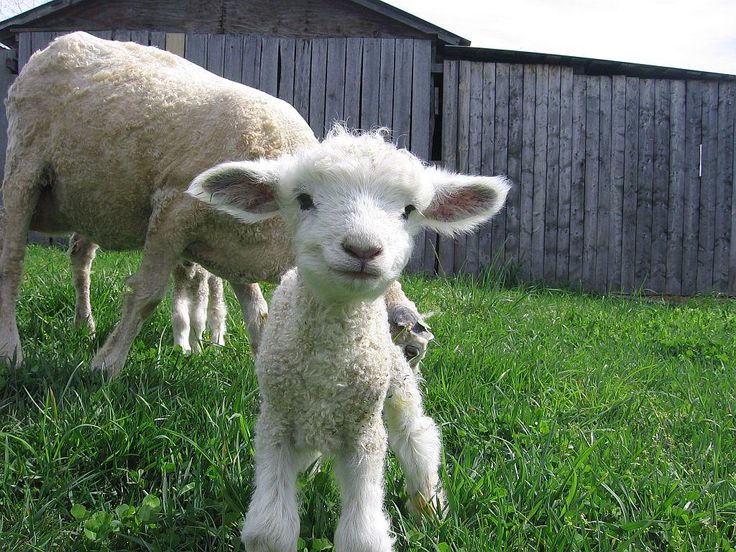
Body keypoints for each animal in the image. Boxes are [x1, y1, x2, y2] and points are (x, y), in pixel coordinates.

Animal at [0, 33, 426, 376]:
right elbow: (146, 295)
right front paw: (105, 367)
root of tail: (52, 47)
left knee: (80, 256)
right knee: (12, 263)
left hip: (91, 199)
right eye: (409, 351)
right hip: (26, 168)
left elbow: (259, 316)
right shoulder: (174, 211)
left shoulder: (239, 249)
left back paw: (83, 325)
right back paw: (11, 351)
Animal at [188, 127, 512, 548]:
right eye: (304, 200)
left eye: (409, 210)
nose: (363, 248)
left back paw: (428, 508)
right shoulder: (276, 422)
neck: (329, 371)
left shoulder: (365, 432)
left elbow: (361, 537)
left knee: (417, 436)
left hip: (396, 382)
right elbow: (271, 530)